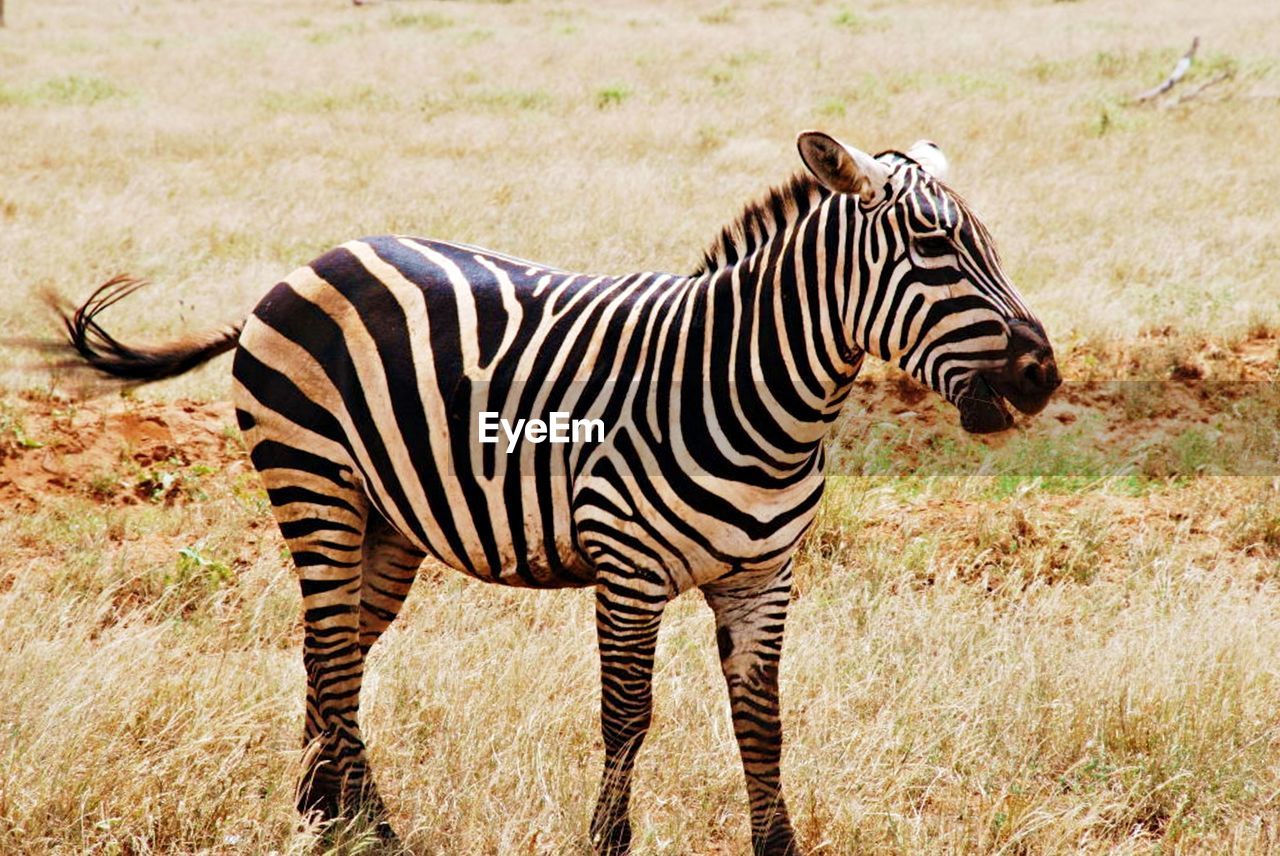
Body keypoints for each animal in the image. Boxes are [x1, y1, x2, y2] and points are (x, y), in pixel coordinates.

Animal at [52, 130, 1059, 849]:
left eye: (988, 243)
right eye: (932, 247)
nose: (1041, 375)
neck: (755, 396)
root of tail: (310, 262)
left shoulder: (763, 579)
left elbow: (763, 723)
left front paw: (779, 847)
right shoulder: (630, 569)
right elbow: (627, 718)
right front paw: (607, 843)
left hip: (386, 522)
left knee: (330, 654)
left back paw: (322, 818)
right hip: (314, 483)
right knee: (332, 653)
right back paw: (372, 832)